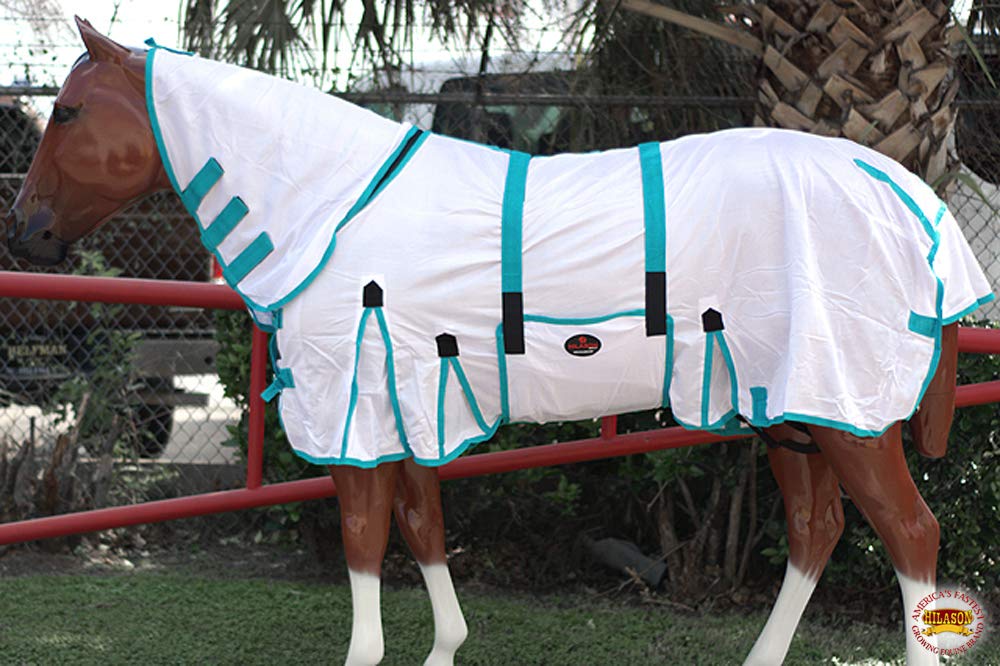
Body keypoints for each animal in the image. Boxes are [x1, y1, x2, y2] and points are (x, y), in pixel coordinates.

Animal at [5, 19, 993, 666]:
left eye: (69, 112)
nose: (26, 233)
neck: (330, 201)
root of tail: (906, 193)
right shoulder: (408, 401)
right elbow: (422, 526)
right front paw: (447, 645)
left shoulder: (357, 410)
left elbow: (364, 536)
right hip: (791, 412)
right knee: (818, 530)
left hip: (846, 413)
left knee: (911, 534)